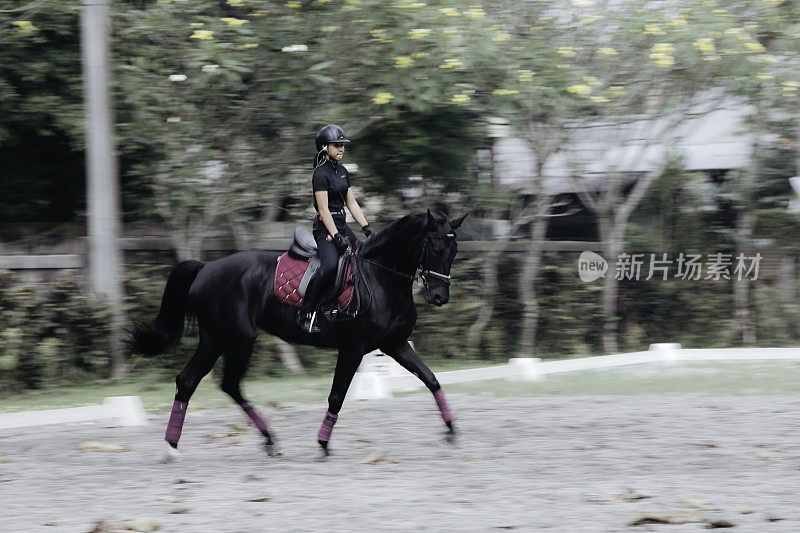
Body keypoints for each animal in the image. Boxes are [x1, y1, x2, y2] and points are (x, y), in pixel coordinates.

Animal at [130, 210, 466, 456]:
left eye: (454, 250)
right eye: (436, 247)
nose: (440, 297)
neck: (379, 276)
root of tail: (206, 267)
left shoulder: (394, 344)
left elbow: (431, 379)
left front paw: (451, 429)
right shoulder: (353, 348)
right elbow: (336, 396)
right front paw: (323, 443)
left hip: (223, 340)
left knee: (211, 383)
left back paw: (260, 438)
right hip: (230, 338)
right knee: (204, 382)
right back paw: (175, 446)